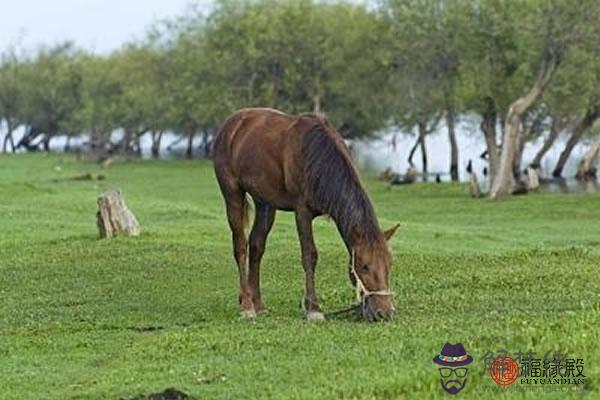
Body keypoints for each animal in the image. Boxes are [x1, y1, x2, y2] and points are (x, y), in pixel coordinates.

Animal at [212, 108, 398, 320]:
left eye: (389, 264)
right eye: (364, 266)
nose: (383, 313)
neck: (316, 156)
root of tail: (232, 123)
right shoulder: (302, 211)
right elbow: (309, 255)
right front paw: (313, 308)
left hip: (264, 202)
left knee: (257, 245)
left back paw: (257, 304)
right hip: (232, 194)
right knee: (241, 246)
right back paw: (247, 305)